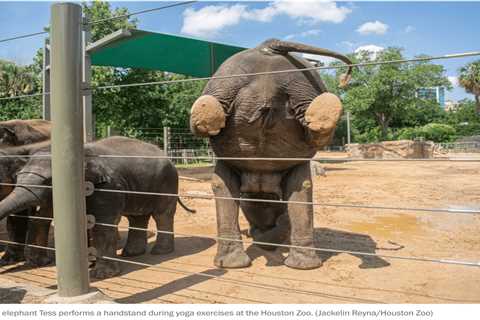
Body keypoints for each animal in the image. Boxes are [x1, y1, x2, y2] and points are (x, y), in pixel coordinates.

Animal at [0, 136, 193, 278]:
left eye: (48, 181)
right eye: (17, 177)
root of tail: (166, 155)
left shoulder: (108, 187)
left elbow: (102, 224)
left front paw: (101, 275)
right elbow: (42, 218)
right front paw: (37, 264)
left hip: (167, 182)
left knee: (162, 215)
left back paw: (159, 252)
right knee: (137, 217)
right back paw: (131, 254)